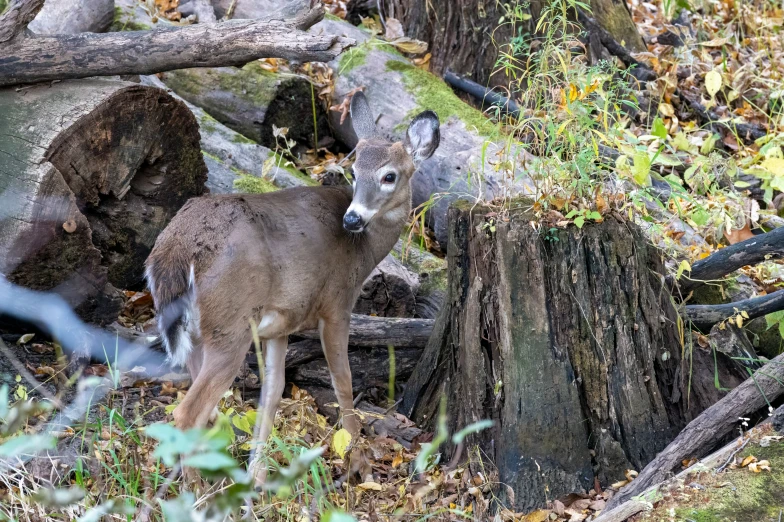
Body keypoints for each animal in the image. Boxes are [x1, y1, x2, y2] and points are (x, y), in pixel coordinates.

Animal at [145, 90, 440, 484]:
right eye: (354, 171)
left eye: (389, 176)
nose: (352, 218)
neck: (363, 251)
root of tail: (176, 246)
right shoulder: (336, 304)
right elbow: (343, 381)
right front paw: (360, 465)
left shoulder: (281, 325)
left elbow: (273, 392)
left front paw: (257, 474)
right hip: (231, 323)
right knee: (187, 412)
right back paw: (196, 491)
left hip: (198, 330)